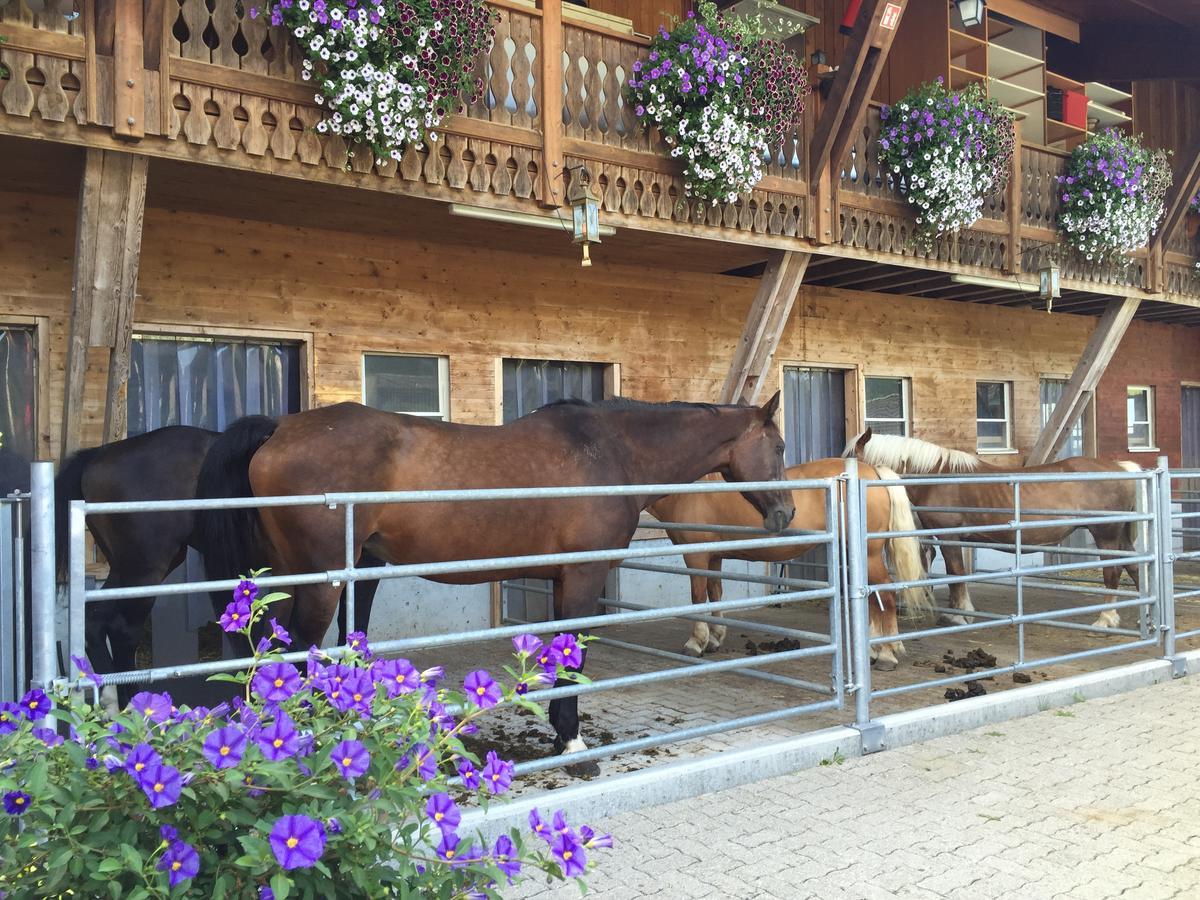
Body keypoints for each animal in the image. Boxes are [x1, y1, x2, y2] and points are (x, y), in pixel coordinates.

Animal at [52, 427, 374, 710]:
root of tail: (100, 454)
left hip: (128, 568)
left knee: (95, 620)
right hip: (144, 570)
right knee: (122, 631)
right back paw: (131, 706)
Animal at [194, 393, 796, 768]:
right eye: (781, 446)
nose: (786, 513)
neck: (612, 451)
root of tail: (280, 427)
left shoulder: (561, 579)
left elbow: (559, 655)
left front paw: (558, 730)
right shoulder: (583, 576)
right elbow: (574, 655)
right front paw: (573, 743)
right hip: (321, 583)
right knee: (295, 654)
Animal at [652, 460, 931, 672]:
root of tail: (871, 471)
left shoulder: (696, 556)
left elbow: (698, 597)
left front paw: (695, 642)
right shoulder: (712, 557)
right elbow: (715, 593)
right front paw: (714, 638)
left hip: (870, 554)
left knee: (886, 594)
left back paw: (886, 655)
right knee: (874, 598)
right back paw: (873, 651)